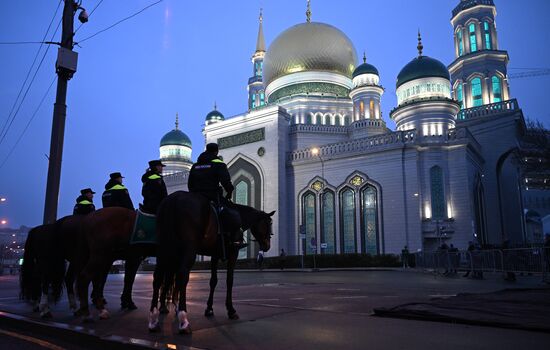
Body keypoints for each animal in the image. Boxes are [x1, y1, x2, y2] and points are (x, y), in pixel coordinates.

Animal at [149, 191, 274, 334]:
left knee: (158, 277)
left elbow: (213, 281)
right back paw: (183, 318)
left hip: (165, 248)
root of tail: (173, 198)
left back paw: (154, 318)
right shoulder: (233, 253)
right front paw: (231, 310)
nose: (267, 246)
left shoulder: (215, 254)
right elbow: (229, 280)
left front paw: (209, 308)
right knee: (182, 275)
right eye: (269, 224)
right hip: (188, 248)